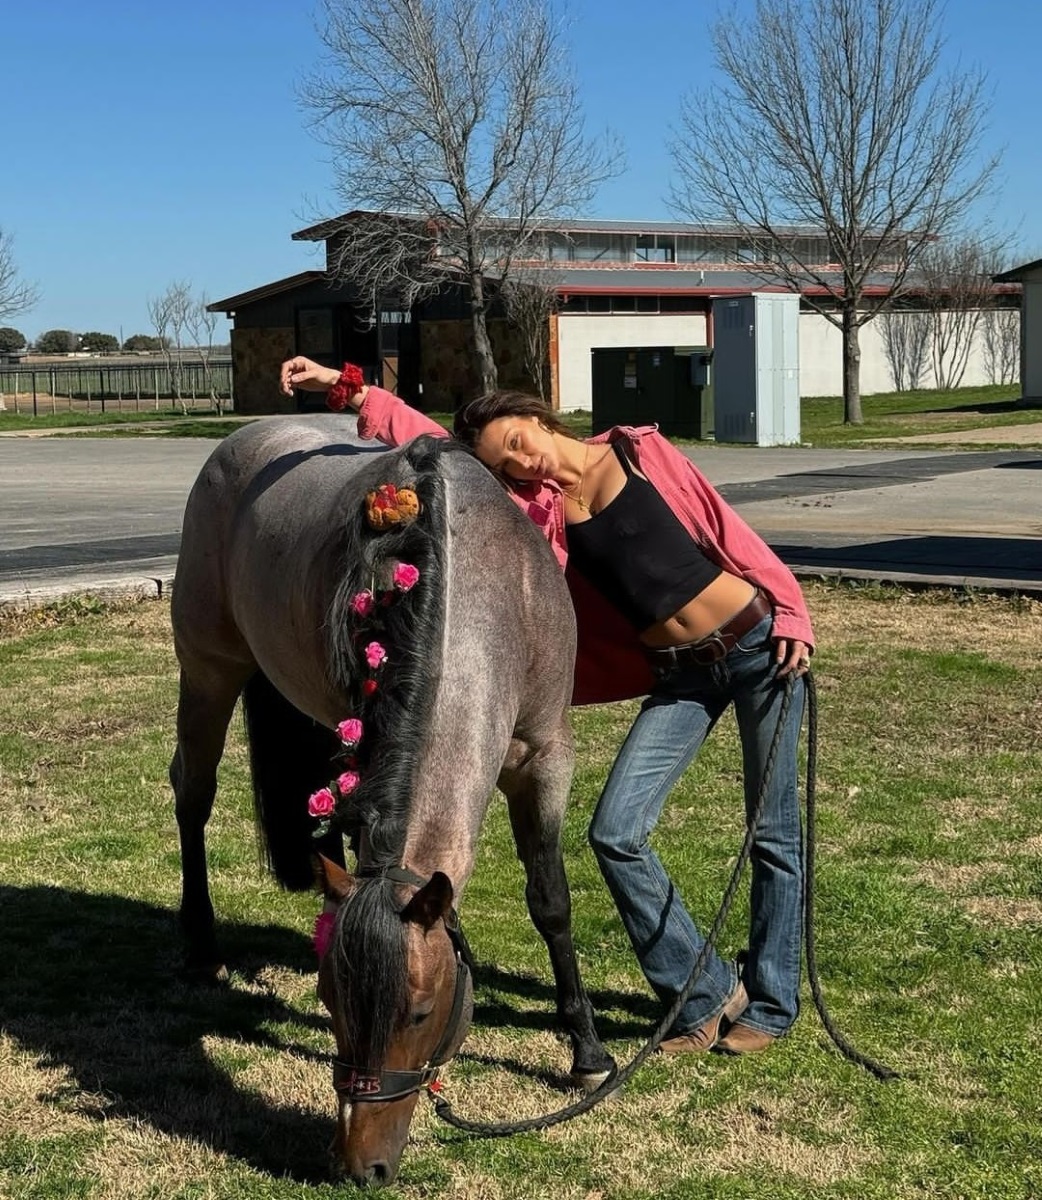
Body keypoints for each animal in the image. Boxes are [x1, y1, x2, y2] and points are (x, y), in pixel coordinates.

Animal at [166, 417, 614, 1185]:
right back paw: (200, 944)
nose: (359, 1165)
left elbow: (551, 901)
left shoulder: (544, 757)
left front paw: (585, 1050)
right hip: (207, 671)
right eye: (330, 1004)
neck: (481, 578)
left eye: (420, 1013)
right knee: (193, 795)